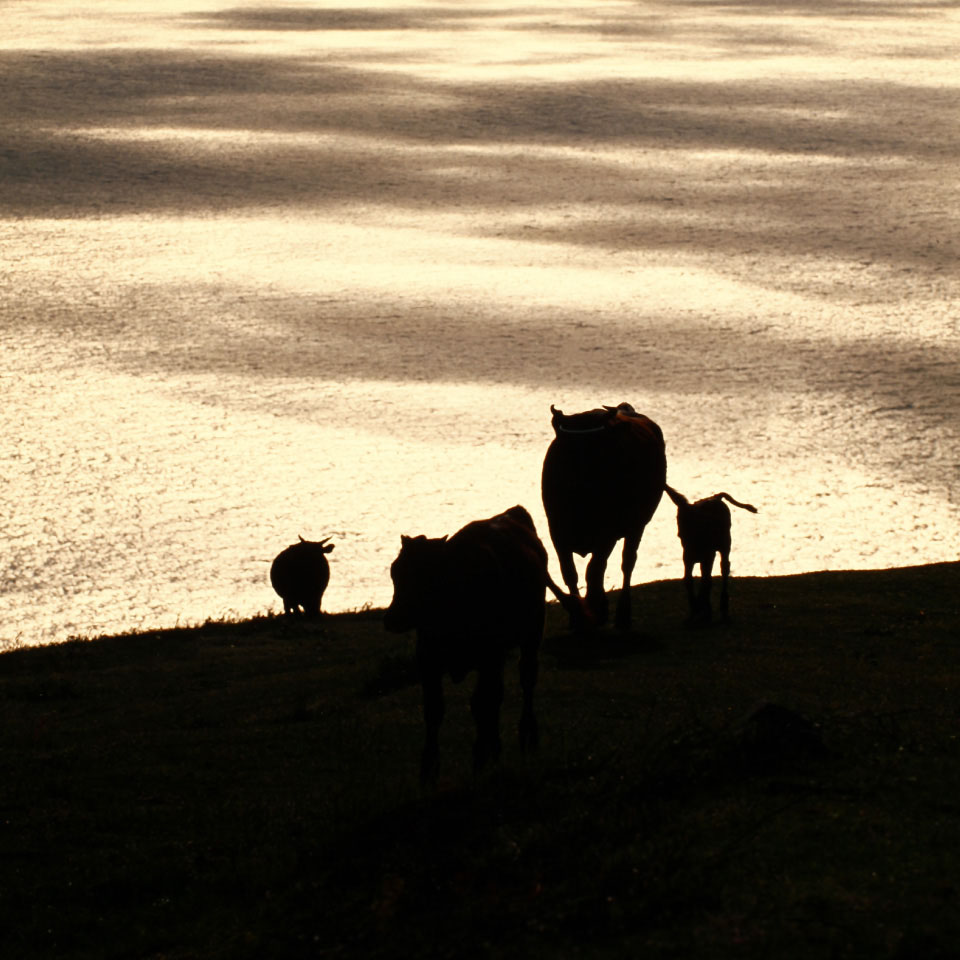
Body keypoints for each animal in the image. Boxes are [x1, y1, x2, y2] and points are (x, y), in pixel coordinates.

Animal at [384, 506, 564, 784]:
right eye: (395, 571)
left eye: (426, 576)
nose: (392, 618)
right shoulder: (428, 661)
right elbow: (434, 710)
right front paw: (429, 768)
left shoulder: (489, 658)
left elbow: (480, 704)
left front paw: (479, 756)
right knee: (497, 696)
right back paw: (496, 747)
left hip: (531, 637)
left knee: (525, 681)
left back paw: (526, 737)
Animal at [540, 404, 668, 632]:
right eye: (565, 450)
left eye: (599, 449)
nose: (579, 483)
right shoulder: (557, 531)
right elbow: (570, 573)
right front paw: (579, 618)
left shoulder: (607, 534)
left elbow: (594, 570)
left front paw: (596, 609)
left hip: (637, 526)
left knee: (627, 562)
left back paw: (622, 615)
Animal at [664, 488, 752, 624]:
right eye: (681, 533)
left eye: (698, 526)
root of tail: (717, 497)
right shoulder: (688, 558)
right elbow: (689, 580)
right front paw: (695, 611)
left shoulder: (708, 556)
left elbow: (706, 580)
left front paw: (702, 610)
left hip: (725, 544)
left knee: (724, 568)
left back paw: (723, 607)